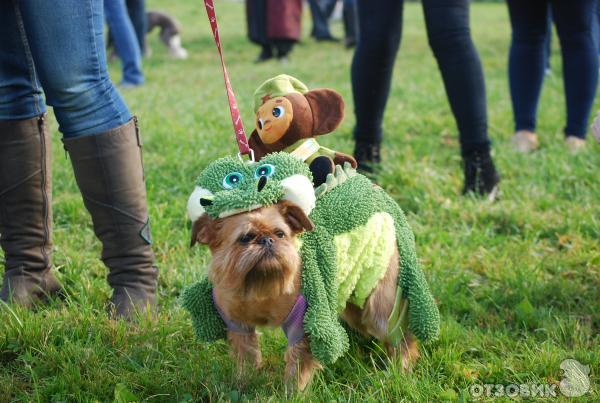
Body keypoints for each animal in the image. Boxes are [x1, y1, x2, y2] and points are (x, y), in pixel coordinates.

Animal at [191, 202, 418, 392]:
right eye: (245, 238)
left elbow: (297, 364)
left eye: (280, 233)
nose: (267, 240)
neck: (261, 287)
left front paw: (292, 393)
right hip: (353, 304)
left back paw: (399, 371)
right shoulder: (237, 324)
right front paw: (243, 383)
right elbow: (246, 355)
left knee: (401, 337)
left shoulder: (302, 325)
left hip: (379, 305)